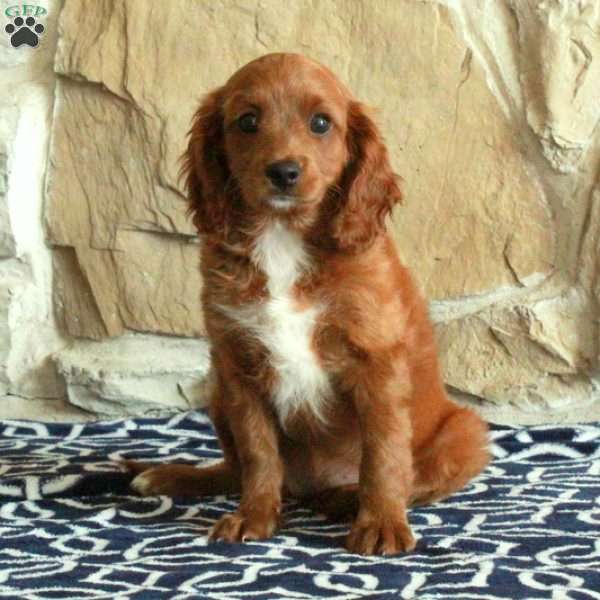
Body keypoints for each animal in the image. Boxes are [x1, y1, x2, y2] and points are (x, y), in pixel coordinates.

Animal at [129, 54, 490, 556]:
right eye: (248, 121)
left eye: (321, 123)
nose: (283, 172)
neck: (284, 236)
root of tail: (309, 486)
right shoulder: (238, 364)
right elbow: (258, 454)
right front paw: (254, 516)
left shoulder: (376, 362)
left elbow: (384, 456)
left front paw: (381, 524)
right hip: (218, 396)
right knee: (235, 470)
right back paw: (169, 476)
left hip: (466, 432)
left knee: (417, 478)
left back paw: (344, 497)